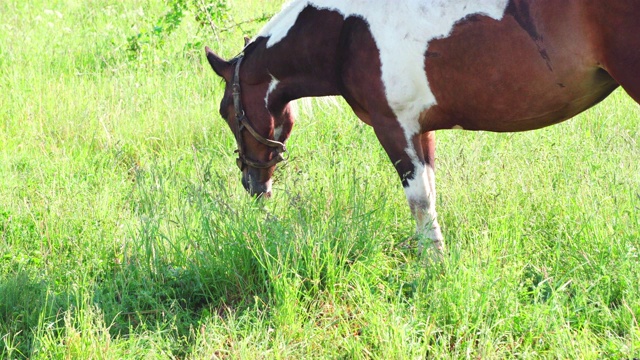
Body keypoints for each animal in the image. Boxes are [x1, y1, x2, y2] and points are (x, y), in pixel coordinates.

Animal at [206, 0, 640, 256]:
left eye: (227, 111)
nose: (253, 185)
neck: (345, 32)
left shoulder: (393, 128)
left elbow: (418, 200)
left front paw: (432, 264)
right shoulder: (421, 130)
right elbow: (429, 194)